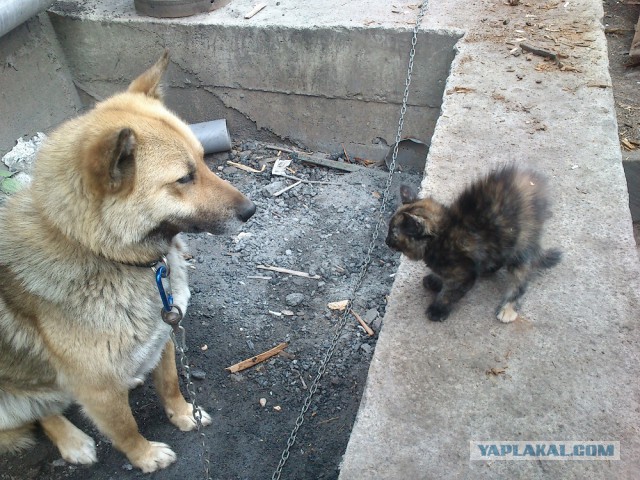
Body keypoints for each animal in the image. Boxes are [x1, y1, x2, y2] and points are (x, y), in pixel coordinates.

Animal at [0, 50, 255, 470]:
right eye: (184, 178)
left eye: (204, 161)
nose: (251, 211)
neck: (98, 251)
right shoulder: (97, 389)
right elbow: (124, 427)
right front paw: (145, 455)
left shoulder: (164, 327)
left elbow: (170, 382)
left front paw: (182, 413)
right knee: (43, 410)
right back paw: (72, 441)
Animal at [384, 165, 560, 322]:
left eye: (392, 232)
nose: (386, 241)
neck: (443, 235)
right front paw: (435, 280)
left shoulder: (464, 273)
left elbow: (449, 293)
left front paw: (438, 310)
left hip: (521, 244)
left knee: (521, 277)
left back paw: (508, 309)